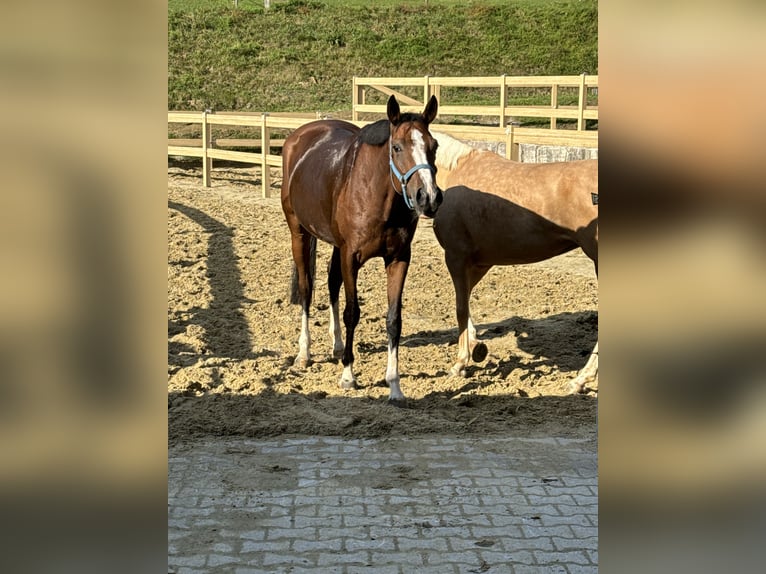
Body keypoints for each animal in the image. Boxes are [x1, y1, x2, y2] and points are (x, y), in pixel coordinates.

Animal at [282, 94, 440, 402]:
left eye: (434, 146)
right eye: (397, 147)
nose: (427, 197)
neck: (377, 197)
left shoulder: (398, 259)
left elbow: (394, 319)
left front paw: (394, 385)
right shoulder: (350, 257)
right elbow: (352, 312)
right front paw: (348, 375)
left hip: (333, 243)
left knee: (332, 283)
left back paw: (337, 345)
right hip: (299, 232)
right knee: (307, 290)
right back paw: (304, 352)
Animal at [432, 134, 600, 396]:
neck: (454, 171)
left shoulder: (456, 257)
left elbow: (460, 308)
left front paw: (460, 363)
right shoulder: (480, 262)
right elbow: (466, 303)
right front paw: (476, 347)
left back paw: (580, 379)